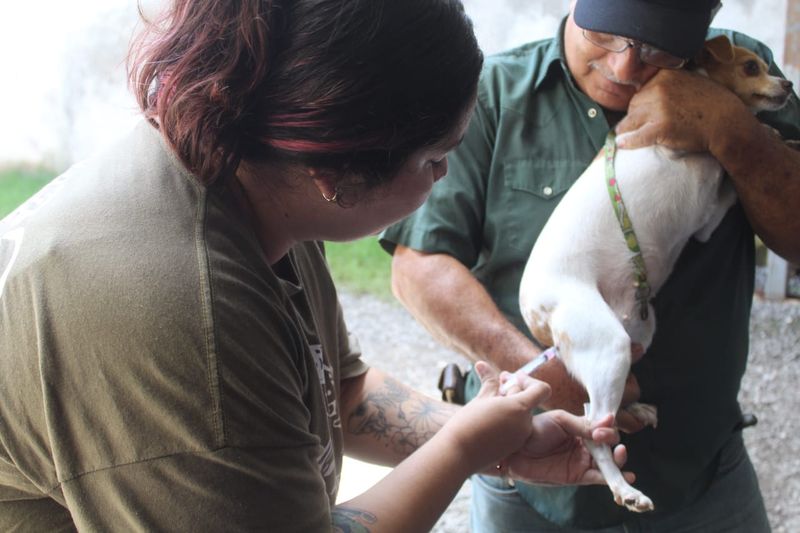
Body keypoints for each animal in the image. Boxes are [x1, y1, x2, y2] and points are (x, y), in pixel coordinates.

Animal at [520, 36, 792, 512]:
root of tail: (536, 312)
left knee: (595, 408)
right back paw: (624, 490)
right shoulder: (707, 214)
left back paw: (636, 412)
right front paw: (773, 134)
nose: (789, 84)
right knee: (594, 430)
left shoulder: (707, 214)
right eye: (751, 66)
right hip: (608, 344)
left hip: (636, 335)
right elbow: (728, 184)